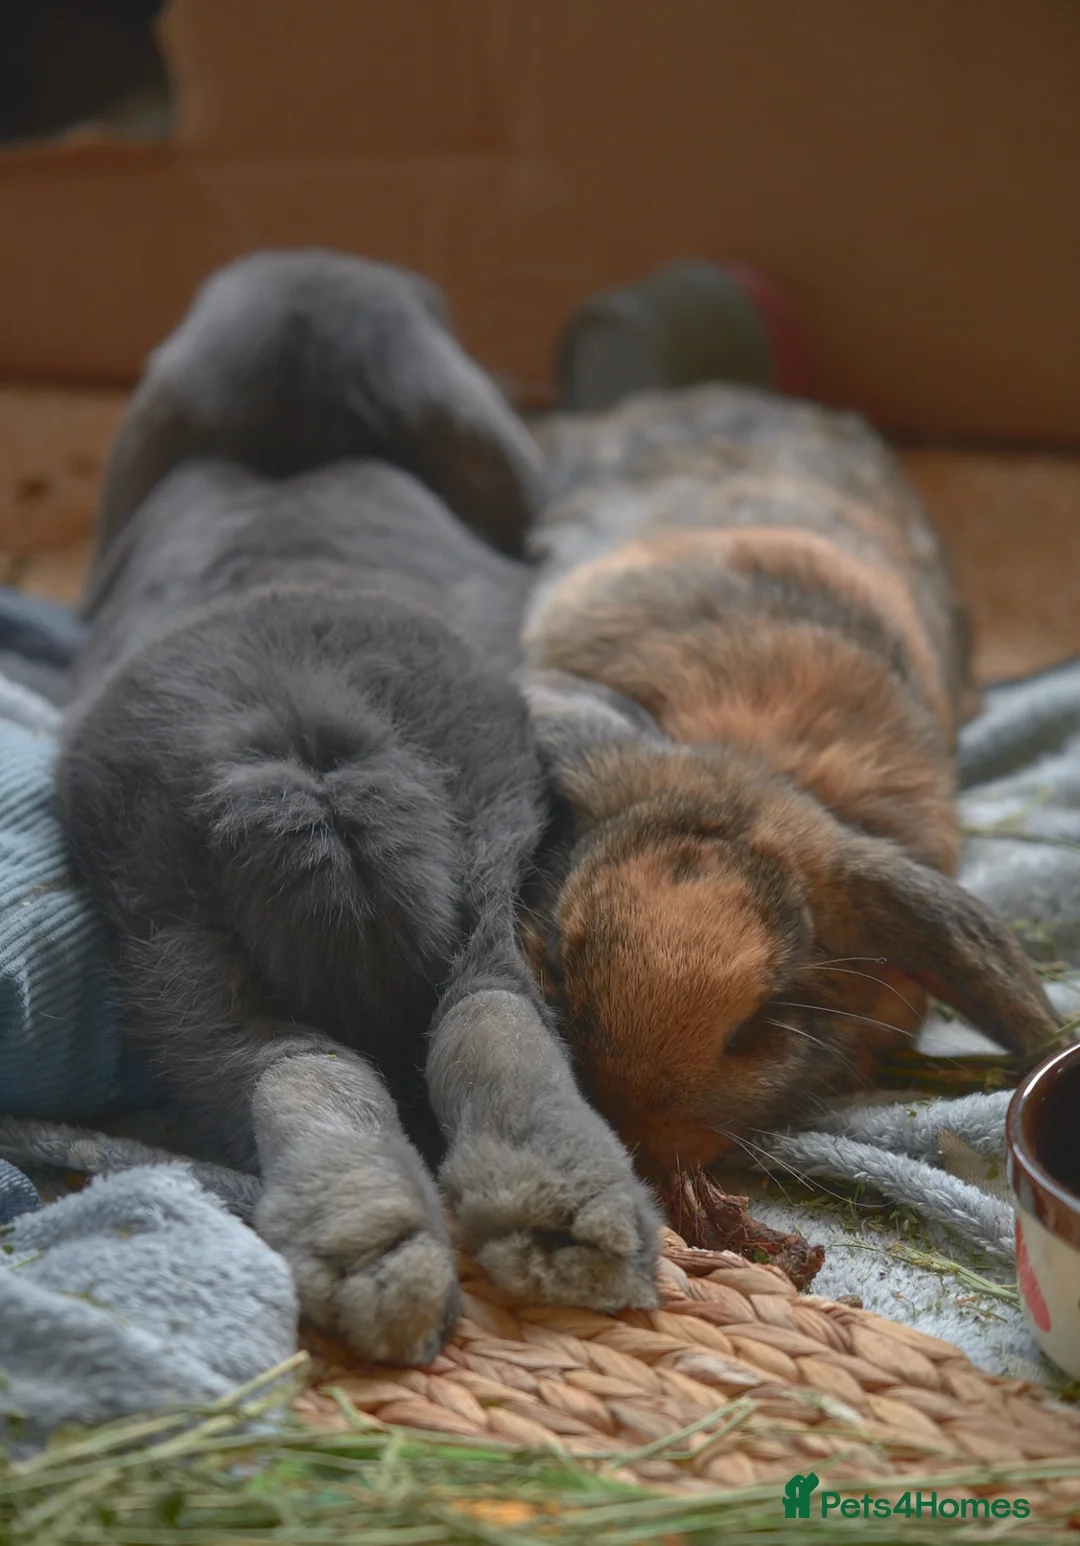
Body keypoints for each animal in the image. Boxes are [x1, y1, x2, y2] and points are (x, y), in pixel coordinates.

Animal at [55, 251, 661, 1366]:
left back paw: (411, 1240)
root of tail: (306, 743)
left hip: (170, 936)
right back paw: (506, 1233)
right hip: (459, 851)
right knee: (458, 1014)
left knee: (329, 1054)